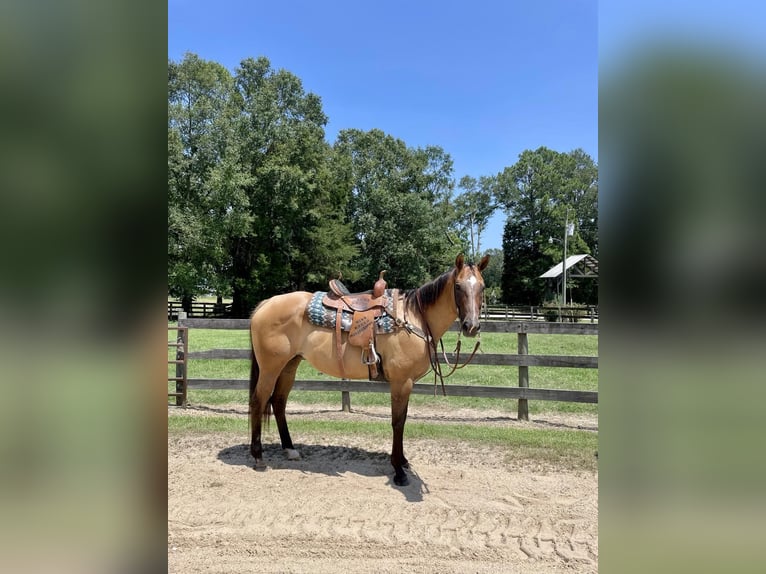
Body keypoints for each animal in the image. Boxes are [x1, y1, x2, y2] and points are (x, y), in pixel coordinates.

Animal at [252, 254, 492, 488]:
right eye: (458, 286)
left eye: (482, 286)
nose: (471, 326)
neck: (413, 318)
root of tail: (266, 304)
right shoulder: (401, 382)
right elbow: (398, 422)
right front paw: (398, 471)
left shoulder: (406, 384)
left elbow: (403, 419)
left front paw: (403, 461)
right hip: (270, 368)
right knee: (259, 401)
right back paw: (258, 457)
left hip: (289, 366)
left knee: (278, 402)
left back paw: (290, 449)